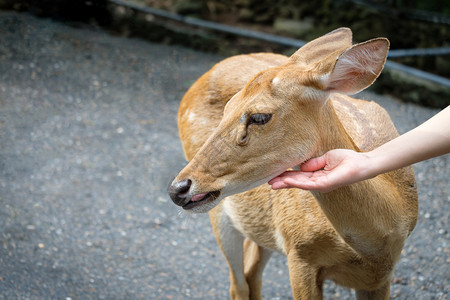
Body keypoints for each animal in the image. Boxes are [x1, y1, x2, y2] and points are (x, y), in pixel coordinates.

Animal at [168, 27, 418, 298]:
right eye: (227, 107)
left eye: (259, 116)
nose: (178, 188)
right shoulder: (300, 253)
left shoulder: (379, 279)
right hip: (223, 215)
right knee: (238, 284)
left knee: (251, 272)